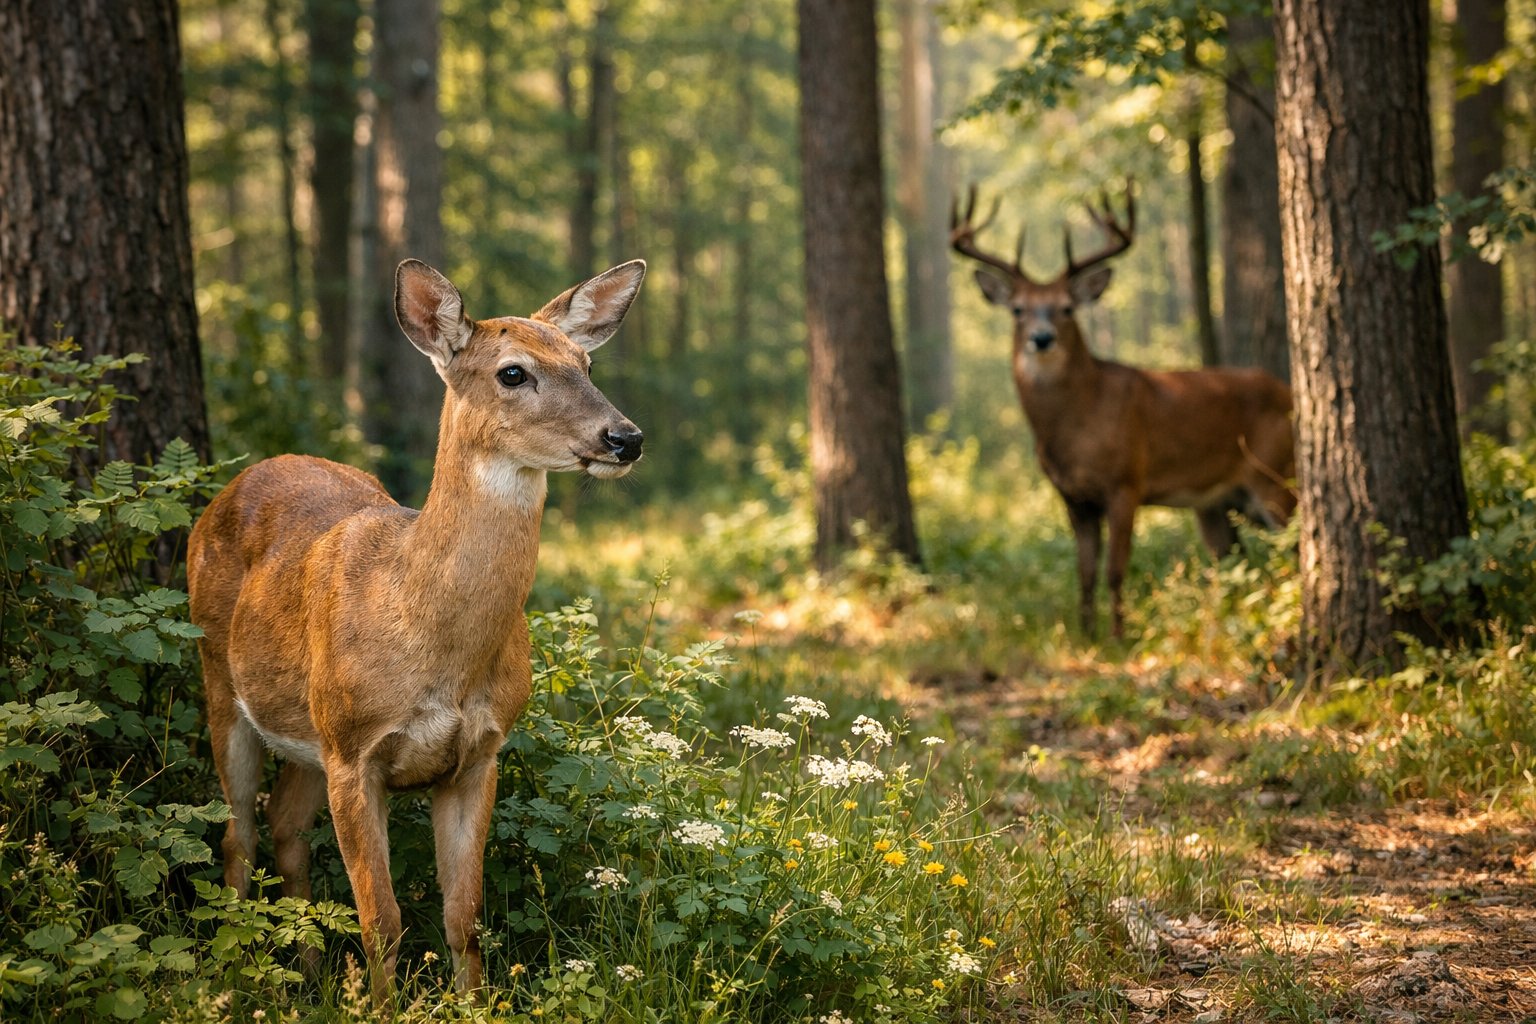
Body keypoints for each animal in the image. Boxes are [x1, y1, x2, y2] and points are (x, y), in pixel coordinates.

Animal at [187, 257, 647, 1000]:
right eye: (513, 372)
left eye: (585, 363)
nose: (625, 438)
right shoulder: (355, 751)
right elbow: (383, 918)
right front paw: (382, 1007)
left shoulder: (480, 753)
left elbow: (465, 915)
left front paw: (475, 1004)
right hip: (223, 684)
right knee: (238, 834)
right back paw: (239, 980)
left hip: (309, 729)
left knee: (285, 827)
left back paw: (310, 975)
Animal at [950, 182, 1295, 639]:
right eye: (1018, 308)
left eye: (1067, 307)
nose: (1041, 338)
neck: (1077, 425)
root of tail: (1290, 392)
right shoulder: (1073, 497)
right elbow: (1084, 572)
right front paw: (1085, 635)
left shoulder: (1126, 482)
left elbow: (1115, 569)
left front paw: (1118, 637)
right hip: (1219, 502)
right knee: (1234, 560)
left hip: (1275, 476)